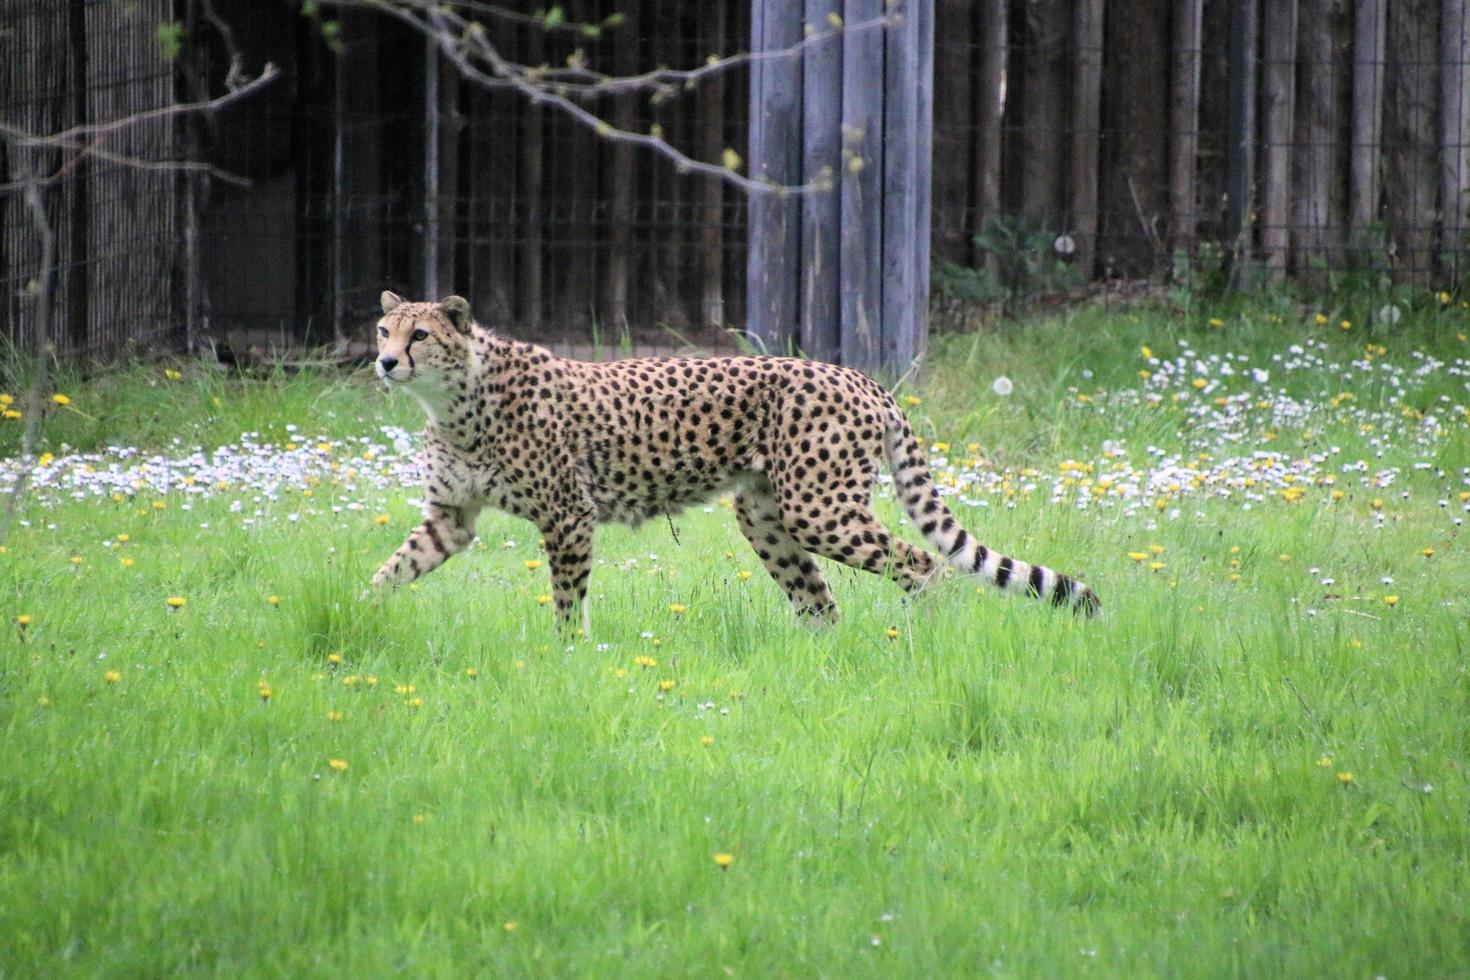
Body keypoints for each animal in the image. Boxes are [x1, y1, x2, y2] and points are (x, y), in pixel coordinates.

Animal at [373, 290, 1099, 631]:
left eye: (421, 335)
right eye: (384, 329)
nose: (382, 361)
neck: (456, 395)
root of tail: (863, 378)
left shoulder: (568, 516)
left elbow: (567, 602)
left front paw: (567, 657)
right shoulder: (451, 518)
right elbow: (391, 570)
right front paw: (355, 619)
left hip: (819, 510)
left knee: (922, 565)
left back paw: (918, 639)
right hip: (766, 515)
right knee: (820, 602)